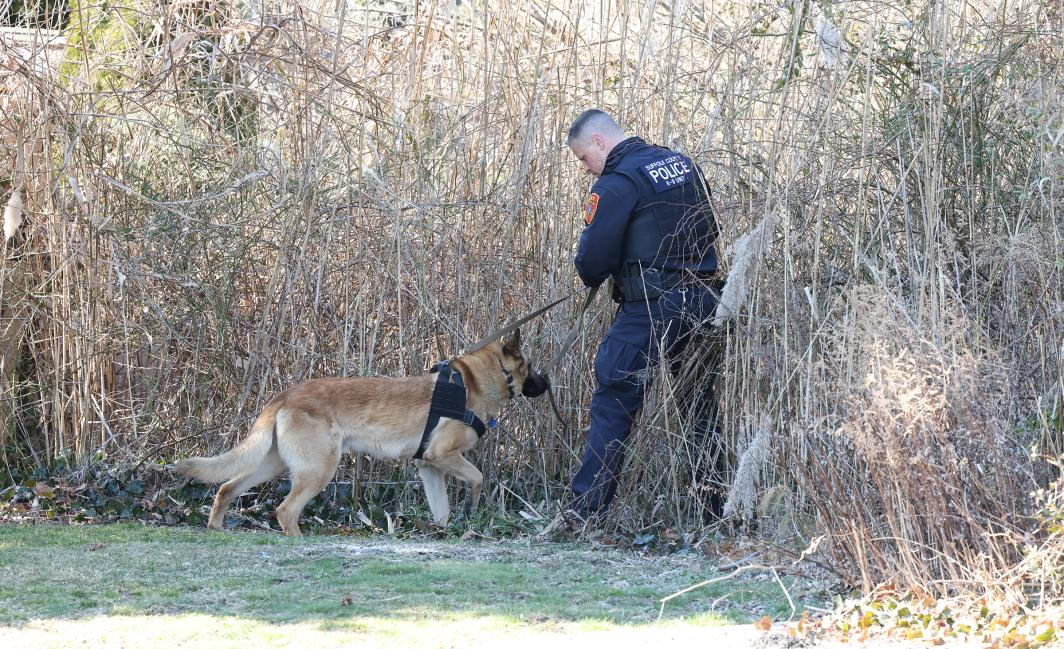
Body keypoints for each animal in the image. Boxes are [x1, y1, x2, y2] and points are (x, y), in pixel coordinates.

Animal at [174, 331, 549, 534]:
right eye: (531, 366)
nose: (547, 384)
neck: (477, 381)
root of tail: (285, 395)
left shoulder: (428, 466)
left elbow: (441, 510)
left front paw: (445, 533)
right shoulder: (444, 456)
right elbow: (478, 478)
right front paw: (471, 508)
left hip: (273, 464)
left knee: (226, 487)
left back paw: (216, 528)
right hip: (318, 470)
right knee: (285, 510)